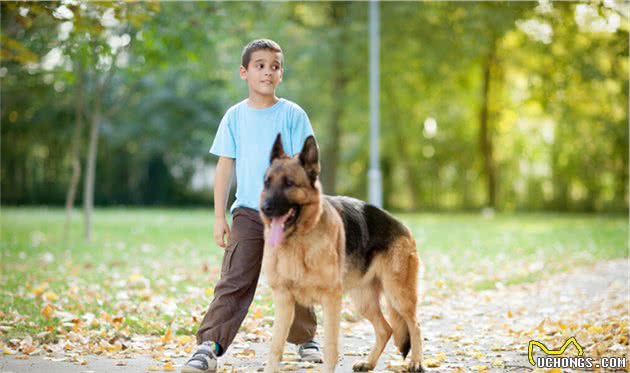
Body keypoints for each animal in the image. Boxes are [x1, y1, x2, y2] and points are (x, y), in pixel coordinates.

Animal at [260, 134, 428, 372]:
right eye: (267, 182)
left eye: (289, 183)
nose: (265, 208)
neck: (299, 242)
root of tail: (401, 225)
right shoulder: (284, 300)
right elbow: (275, 347)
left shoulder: (331, 300)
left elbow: (331, 347)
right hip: (363, 300)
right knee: (386, 329)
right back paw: (369, 362)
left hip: (398, 295)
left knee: (415, 324)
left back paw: (416, 361)